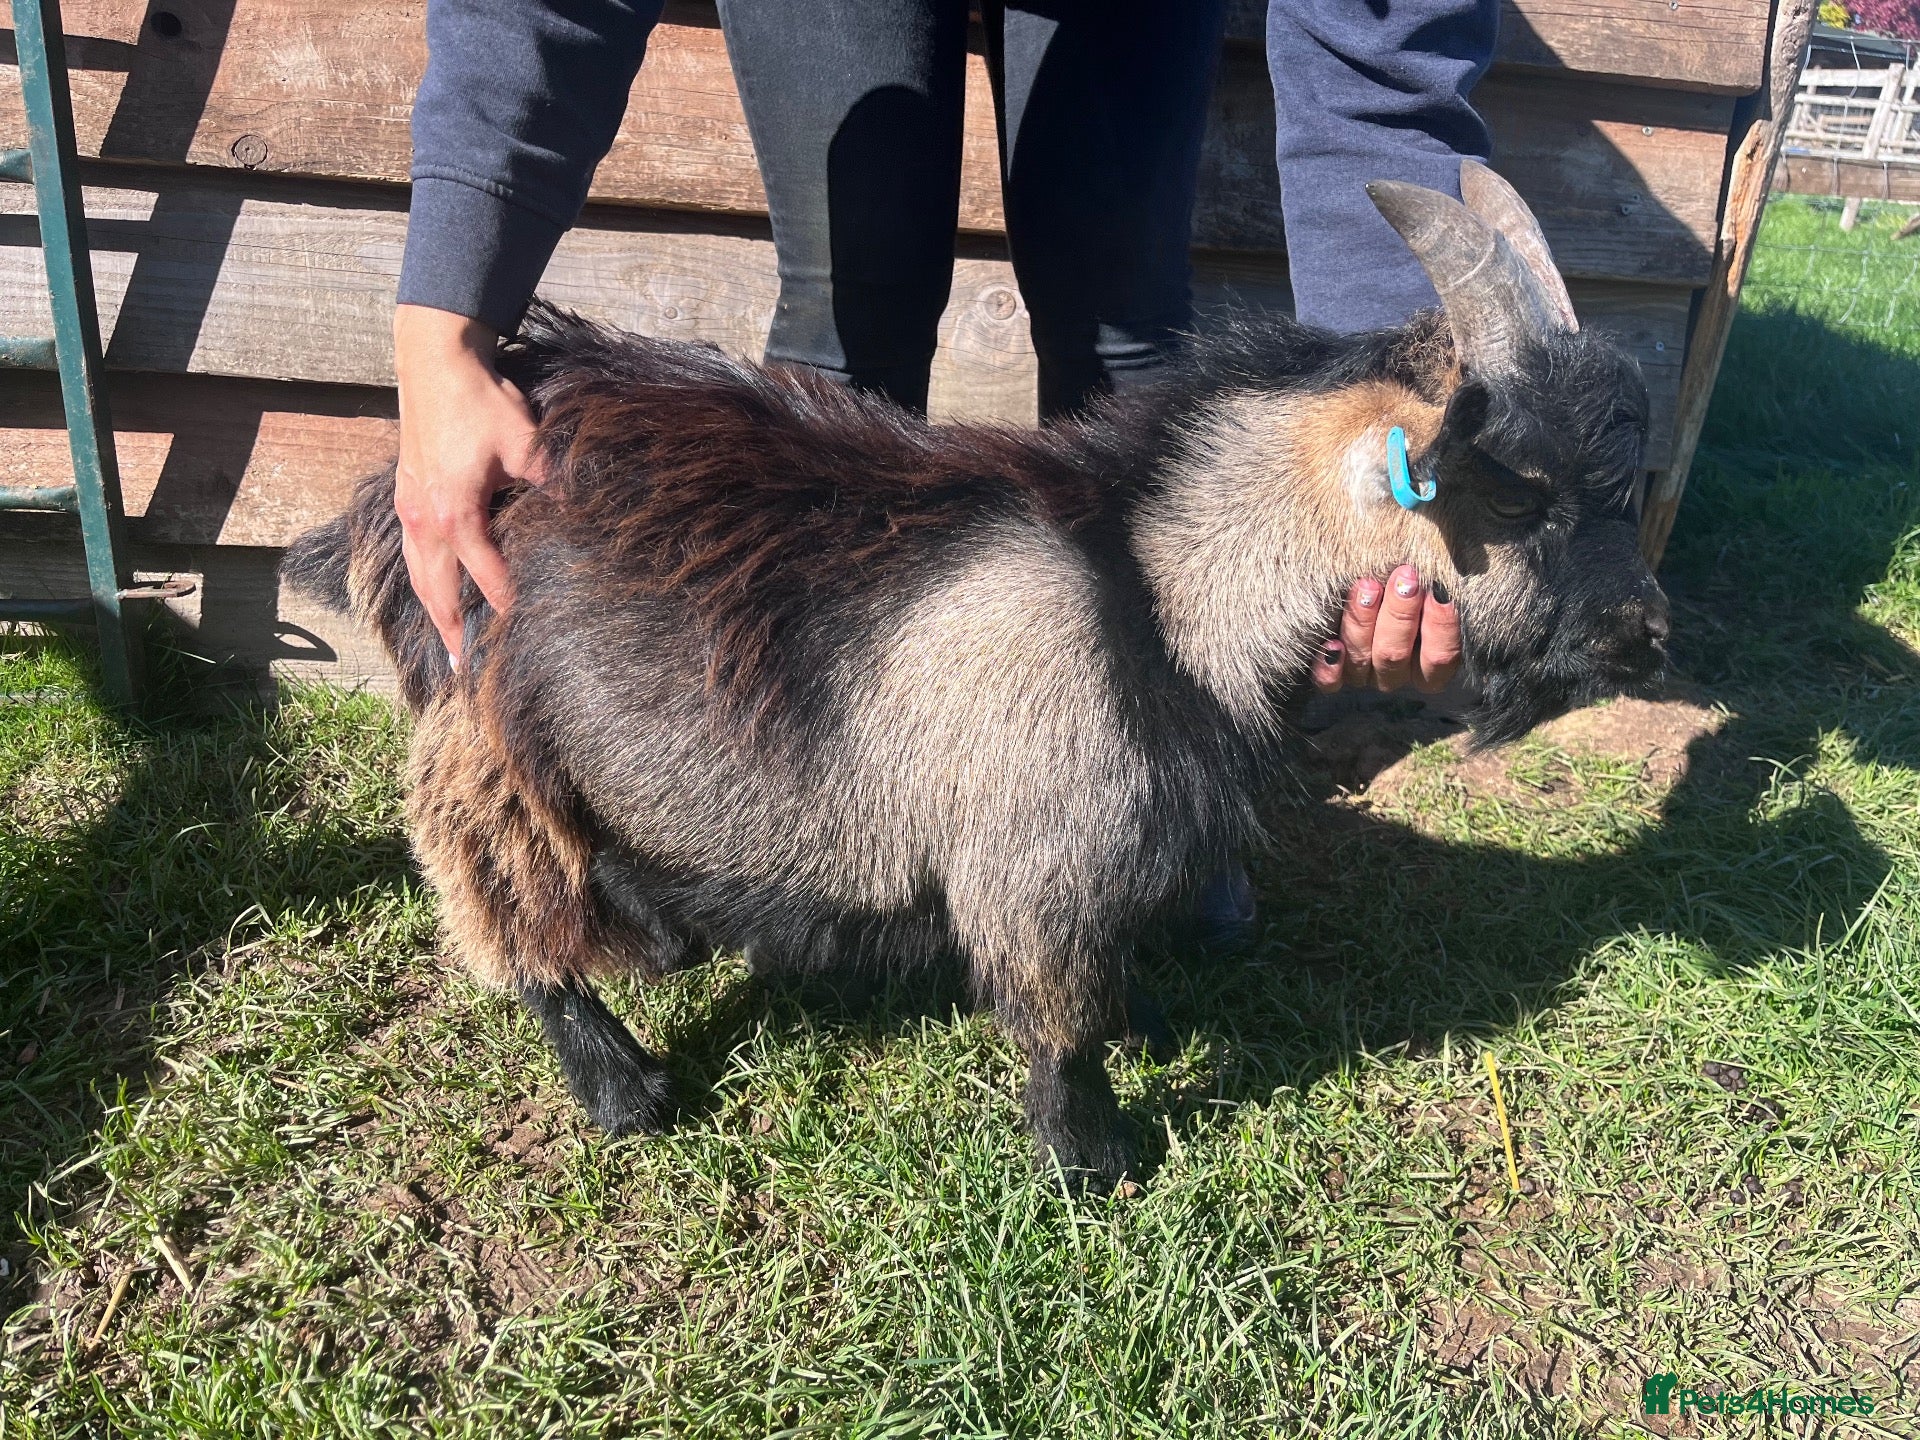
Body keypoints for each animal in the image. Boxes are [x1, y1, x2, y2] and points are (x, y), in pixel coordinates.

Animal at [285, 163, 1668, 1190]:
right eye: (1519, 490)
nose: (1646, 632)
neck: (1155, 589)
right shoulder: (1037, 860)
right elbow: (1062, 1024)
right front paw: (1096, 1162)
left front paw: (1151, 1030)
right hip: (483, 732)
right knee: (497, 897)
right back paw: (621, 1086)